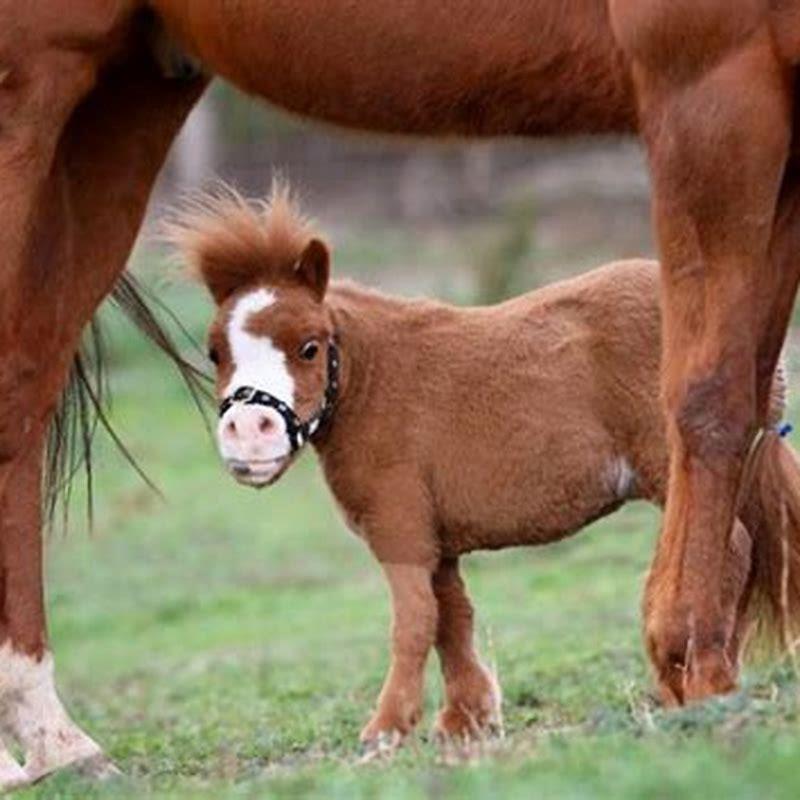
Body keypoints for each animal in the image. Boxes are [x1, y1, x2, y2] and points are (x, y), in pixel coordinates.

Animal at [168, 185, 800, 750]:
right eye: (214, 352)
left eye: (309, 346)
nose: (249, 434)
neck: (374, 383)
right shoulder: (437, 542)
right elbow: (452, 618)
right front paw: (465, 720)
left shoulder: (401, 533)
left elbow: (414, 623)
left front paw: (386, 730)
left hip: (681, 472)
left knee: (729, 550)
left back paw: (701, 681)